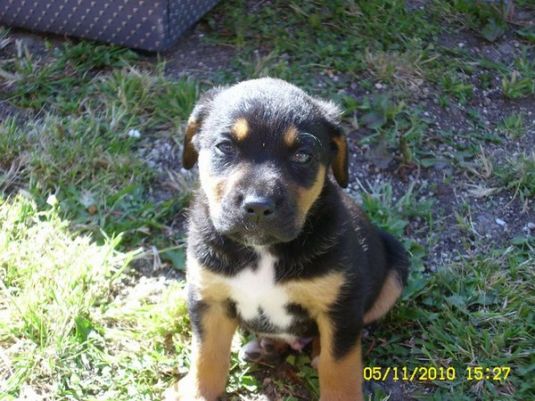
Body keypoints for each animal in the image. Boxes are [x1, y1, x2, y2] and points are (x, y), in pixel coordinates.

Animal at [168, 77, 410, 400]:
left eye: (302, 155)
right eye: (225, 147)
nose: (258, 206)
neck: (262, 251)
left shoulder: (340, 308)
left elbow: (339, 366)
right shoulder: (209, 298)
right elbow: (206, 354)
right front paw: (197, 392)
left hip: (396, 267)